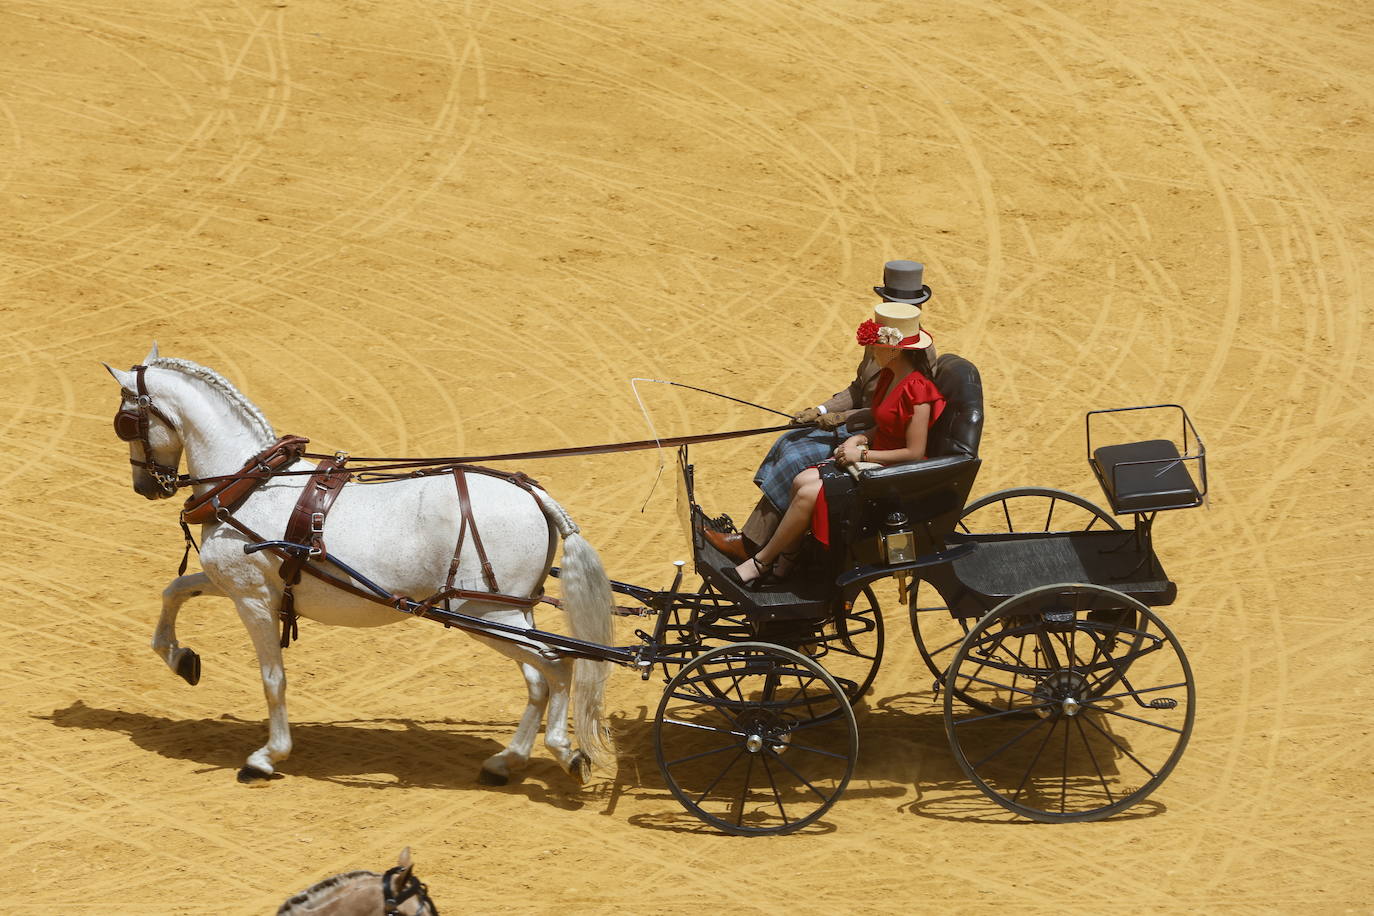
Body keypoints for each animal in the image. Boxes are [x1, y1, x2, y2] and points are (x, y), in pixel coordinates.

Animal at [105, 346, 618, 791]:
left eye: (125, 422)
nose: (145, 486)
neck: (252, 485)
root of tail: (533, 494)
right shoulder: (235, 583)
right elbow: (175, 590)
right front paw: (180, 658)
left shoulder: (252, 599)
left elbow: (272, 678)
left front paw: (268, 756)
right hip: (507, 614)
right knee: (539, 678)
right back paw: (506, 761)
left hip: (487, 614)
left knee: (559, 667)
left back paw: (564, 750)